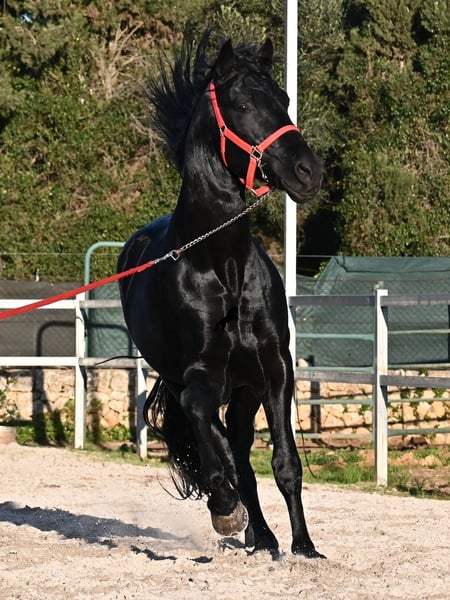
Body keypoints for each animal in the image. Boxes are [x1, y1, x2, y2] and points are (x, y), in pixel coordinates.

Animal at [118, 30, 325, 559]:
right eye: (242, 104)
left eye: (285, 99)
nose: (309, 171)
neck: (223, 271)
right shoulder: (199, 378)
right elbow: (217, 452)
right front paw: (225, 509)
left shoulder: (274, 371)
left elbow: (285, 463)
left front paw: (304, 547)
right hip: (193, 384)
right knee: (225, 451)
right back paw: (245, 523)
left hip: (244, 393)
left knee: (242, 453)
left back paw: (263, 536)